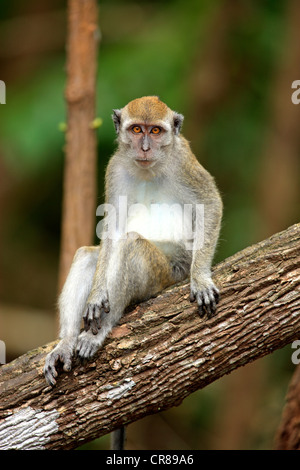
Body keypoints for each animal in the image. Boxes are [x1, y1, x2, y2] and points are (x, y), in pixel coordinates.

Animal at [44, 95, 223, 448]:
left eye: (156, 131)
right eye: (137, 129)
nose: (144, 147)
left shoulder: (183, 161)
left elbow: (209, 203)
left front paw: (200, 278)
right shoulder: (114, 169)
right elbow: (112, 227)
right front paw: (95, 298)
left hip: (168, 272)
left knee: (133, 245)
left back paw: (98, 334)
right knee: (90, 255)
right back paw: (69, 341)